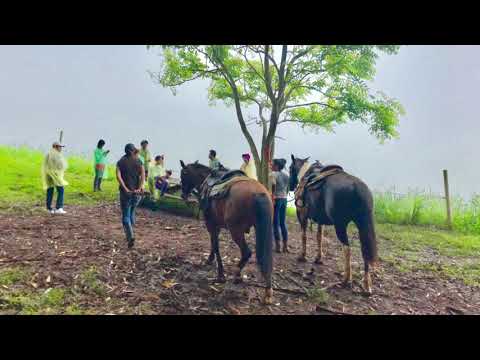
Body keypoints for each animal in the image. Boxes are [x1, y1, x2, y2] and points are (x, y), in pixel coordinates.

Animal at [179, 160, 274, 304]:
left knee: (247, 252)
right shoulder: (215, 225)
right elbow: (213, 244)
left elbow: (216, 245)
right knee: (264, 258)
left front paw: (220, 274)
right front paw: (210, 260)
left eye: (183, 174)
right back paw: (267, 291)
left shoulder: (211, 224)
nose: (183, 194)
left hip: (235, 230)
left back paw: (237, 274)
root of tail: (259, 193)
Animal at [288, 156, 378, 294]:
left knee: (347, 248)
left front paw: (302, 256)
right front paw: (318, 258)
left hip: (340, 226)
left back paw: (346, 279)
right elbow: (319, 237)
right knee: (365, 251)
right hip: (362, 225)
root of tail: (358, 188)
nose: (291, 186)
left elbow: (304, 236)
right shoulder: (320, 220)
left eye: (290, 168)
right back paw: (366, 285)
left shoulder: (301, 215)